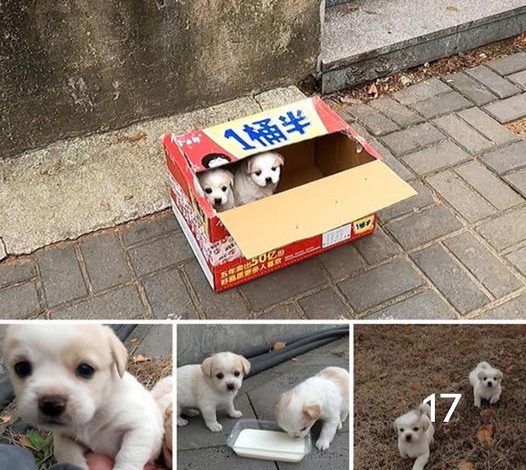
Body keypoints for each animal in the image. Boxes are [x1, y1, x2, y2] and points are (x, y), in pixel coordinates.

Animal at [2, 324, 165, 470]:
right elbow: (66, 453)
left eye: (85, 369)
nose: (51, 404)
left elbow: (128, 457)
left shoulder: (140, 428)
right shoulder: (63, 436)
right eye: (21, 368)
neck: (93, 417)